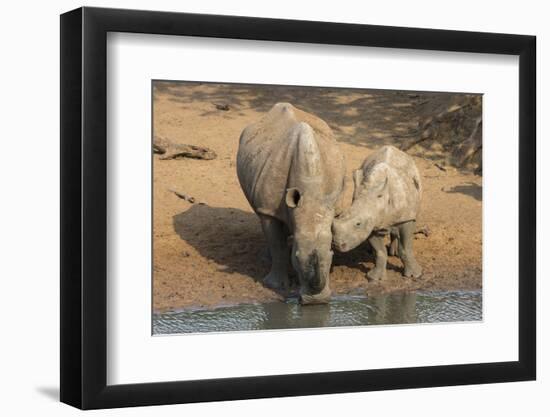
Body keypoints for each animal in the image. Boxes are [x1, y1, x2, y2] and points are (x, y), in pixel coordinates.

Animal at [236, 101, 344, 302]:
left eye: (331, 255)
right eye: (297, 256)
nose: (316, 301)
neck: (310, 193)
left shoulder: (330, 205)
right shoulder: (268, 209)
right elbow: (276, 242)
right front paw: (275, 285)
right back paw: (267, 259)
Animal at [330, 145, 424, 280]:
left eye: (358, 224)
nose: (337, 244)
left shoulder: (406, 217)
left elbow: (406, 248)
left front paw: (414, 275)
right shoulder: (371, 223)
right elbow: (379, 251)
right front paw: (375, 278)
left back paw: (394, 253)